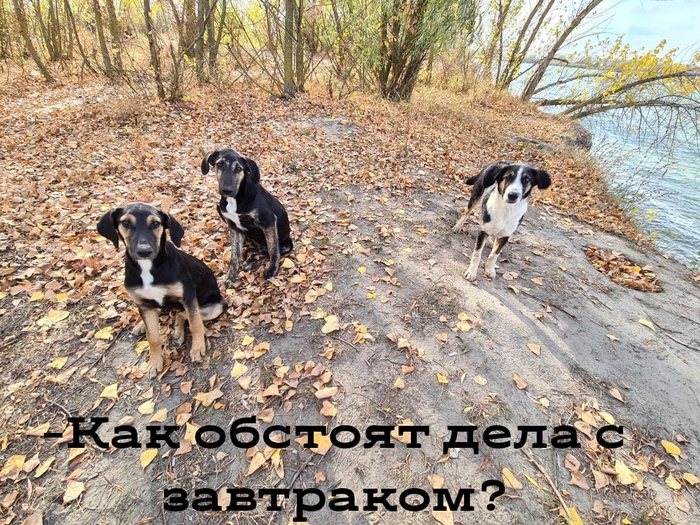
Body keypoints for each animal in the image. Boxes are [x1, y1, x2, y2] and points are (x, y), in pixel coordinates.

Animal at [97, 203, 228, 377]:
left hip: (215, 307)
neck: (149, 268)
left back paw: (178, 331)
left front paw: (198, 348)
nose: (144, 251)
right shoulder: (143, 303)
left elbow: (195, 324)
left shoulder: (188, 296)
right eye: (125, 223)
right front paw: (154, 363)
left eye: (155, 223)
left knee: (184, 313)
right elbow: (152, 337)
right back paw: (144, 326)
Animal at [201, 149, 293, 284]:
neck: (235, 199)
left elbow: (273, 250)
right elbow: (234, 257)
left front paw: (273, 269)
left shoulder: (269, 221)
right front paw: (230, 277)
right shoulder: (234, 228)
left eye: (239, 168)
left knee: (267, 250)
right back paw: (248, 262)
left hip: (285, 246)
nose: (227, 190)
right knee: (252, 251)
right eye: (219, 164)